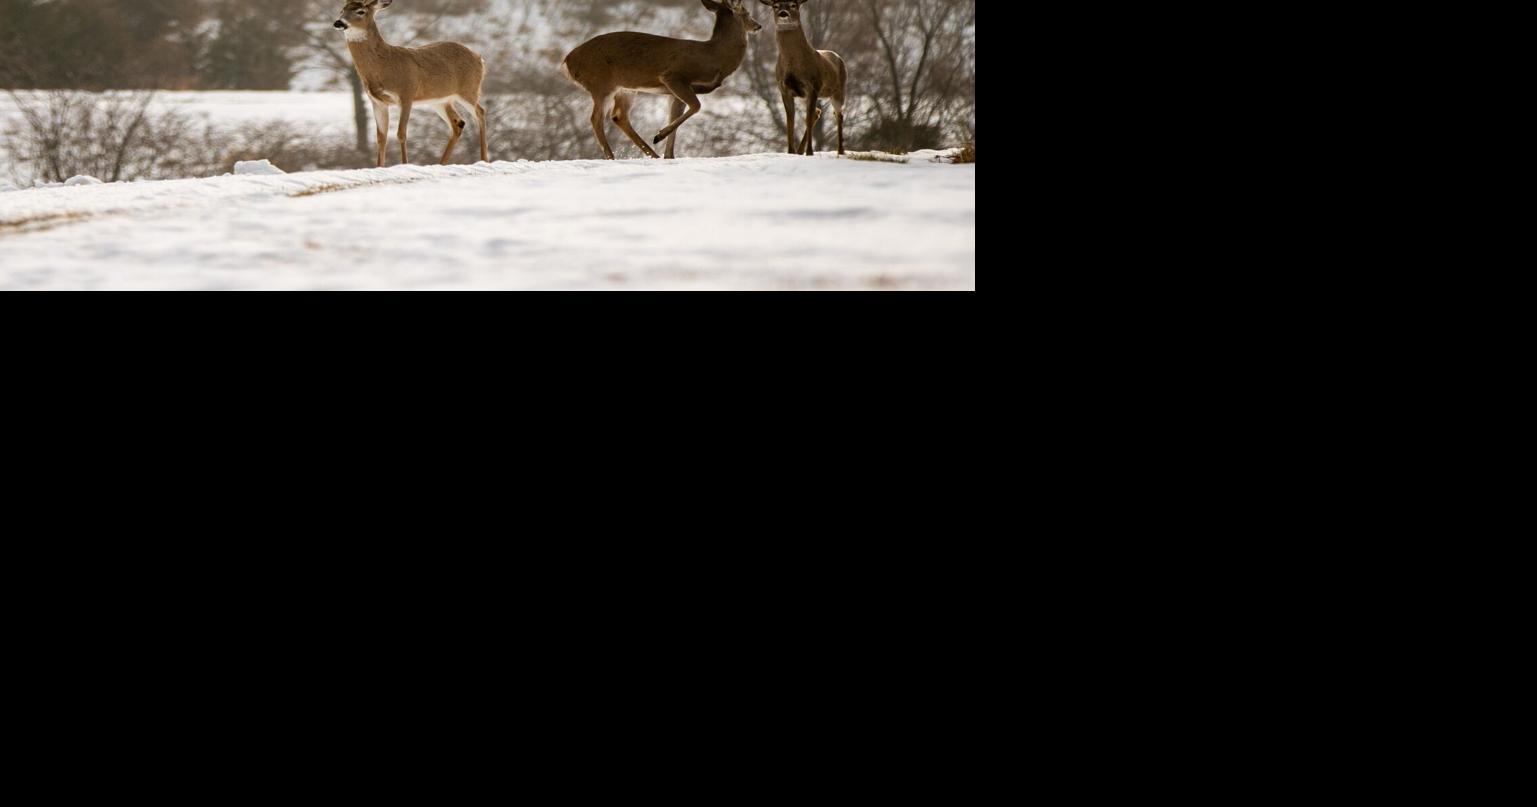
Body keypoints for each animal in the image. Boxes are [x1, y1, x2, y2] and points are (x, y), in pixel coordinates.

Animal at [333, 0, 489, 167]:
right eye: (342, 10)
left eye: (360, 11)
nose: (338, 22)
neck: (383, 65)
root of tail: (479, 58)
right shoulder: (377, 101)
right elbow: (381, 138)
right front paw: (379, 167)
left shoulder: (406, 94)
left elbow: (401, 133)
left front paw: (404, 164)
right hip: (439, 100)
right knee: (458, 123)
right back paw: (440, 163)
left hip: (469, 89)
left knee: (480, 112)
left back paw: (484, 159)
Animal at [561, 0, 762, 160]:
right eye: (746, 12)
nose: (758, 26)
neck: (714, 57)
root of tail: (567, 61)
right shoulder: (673, 77)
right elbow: (696, 106)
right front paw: (659, 135)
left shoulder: (676, 91)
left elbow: (676, 116)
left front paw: (669, 155)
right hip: (601, 83)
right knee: (596, 118)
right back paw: (612, 157)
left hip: (625, 88)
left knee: (618, 115)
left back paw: (653, 155)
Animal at [760, 0, 846, 156]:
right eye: (775, 6)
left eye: (793, 5)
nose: (783, 13)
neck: (794, 63)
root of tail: (837, 56)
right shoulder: (785, 89)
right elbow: (790, 120)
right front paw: (790, 151)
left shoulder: (813, 86)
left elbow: (806, 118)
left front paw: (810, 152)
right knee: (817, 113)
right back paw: (800, 151)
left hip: (839, 90)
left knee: (838, 114)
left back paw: (840, 151)